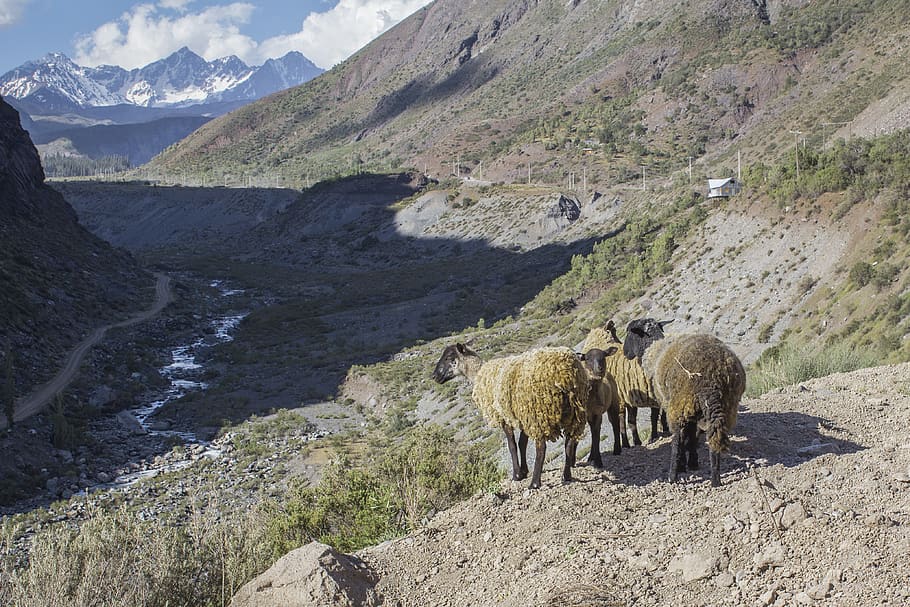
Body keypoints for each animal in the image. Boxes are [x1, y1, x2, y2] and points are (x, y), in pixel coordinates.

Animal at [434, 344, 592, 492]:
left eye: (449, 357)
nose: (434, 376)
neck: (479, 373)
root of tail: (566, 373)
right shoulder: (522, 417)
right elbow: (522, 443)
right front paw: (524, 470)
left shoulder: (504, 416)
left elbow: (512, 445)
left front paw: (517, 475)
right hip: (575, 412)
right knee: (569, 443)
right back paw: (566, 476)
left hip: (539, 413)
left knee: (541, 448)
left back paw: (535, 483)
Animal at [580, 318, 672, 446]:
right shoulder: (629, 399)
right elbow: (631, 421)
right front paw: (636, 441)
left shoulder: (620, 399)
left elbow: (622, 422)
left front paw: (626, 444)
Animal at [628, 320, 748, 486]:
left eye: (629, 332)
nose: (625, 353)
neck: (655, 349)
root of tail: (712, 380)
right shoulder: (692, 410)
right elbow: (691, 435)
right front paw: (692, 462)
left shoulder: (679, 407)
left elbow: (685, 437)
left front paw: (685, 464)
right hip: (726, 406)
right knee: (714, 436)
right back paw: (715, 480)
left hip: (680, 406)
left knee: (677, 440)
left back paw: (672, 476)